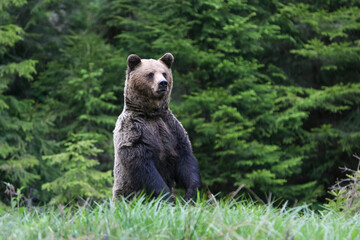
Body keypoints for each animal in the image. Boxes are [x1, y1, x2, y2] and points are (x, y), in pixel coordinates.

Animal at [112, 52, 201, 201]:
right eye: (150, 74)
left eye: (164, 73)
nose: (163, 83)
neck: (152, 113)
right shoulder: (134, 131)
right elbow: (143, 167)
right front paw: (167, 197)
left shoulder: (172, 129)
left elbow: (186, 159)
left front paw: (190, 194)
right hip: (124, 192)